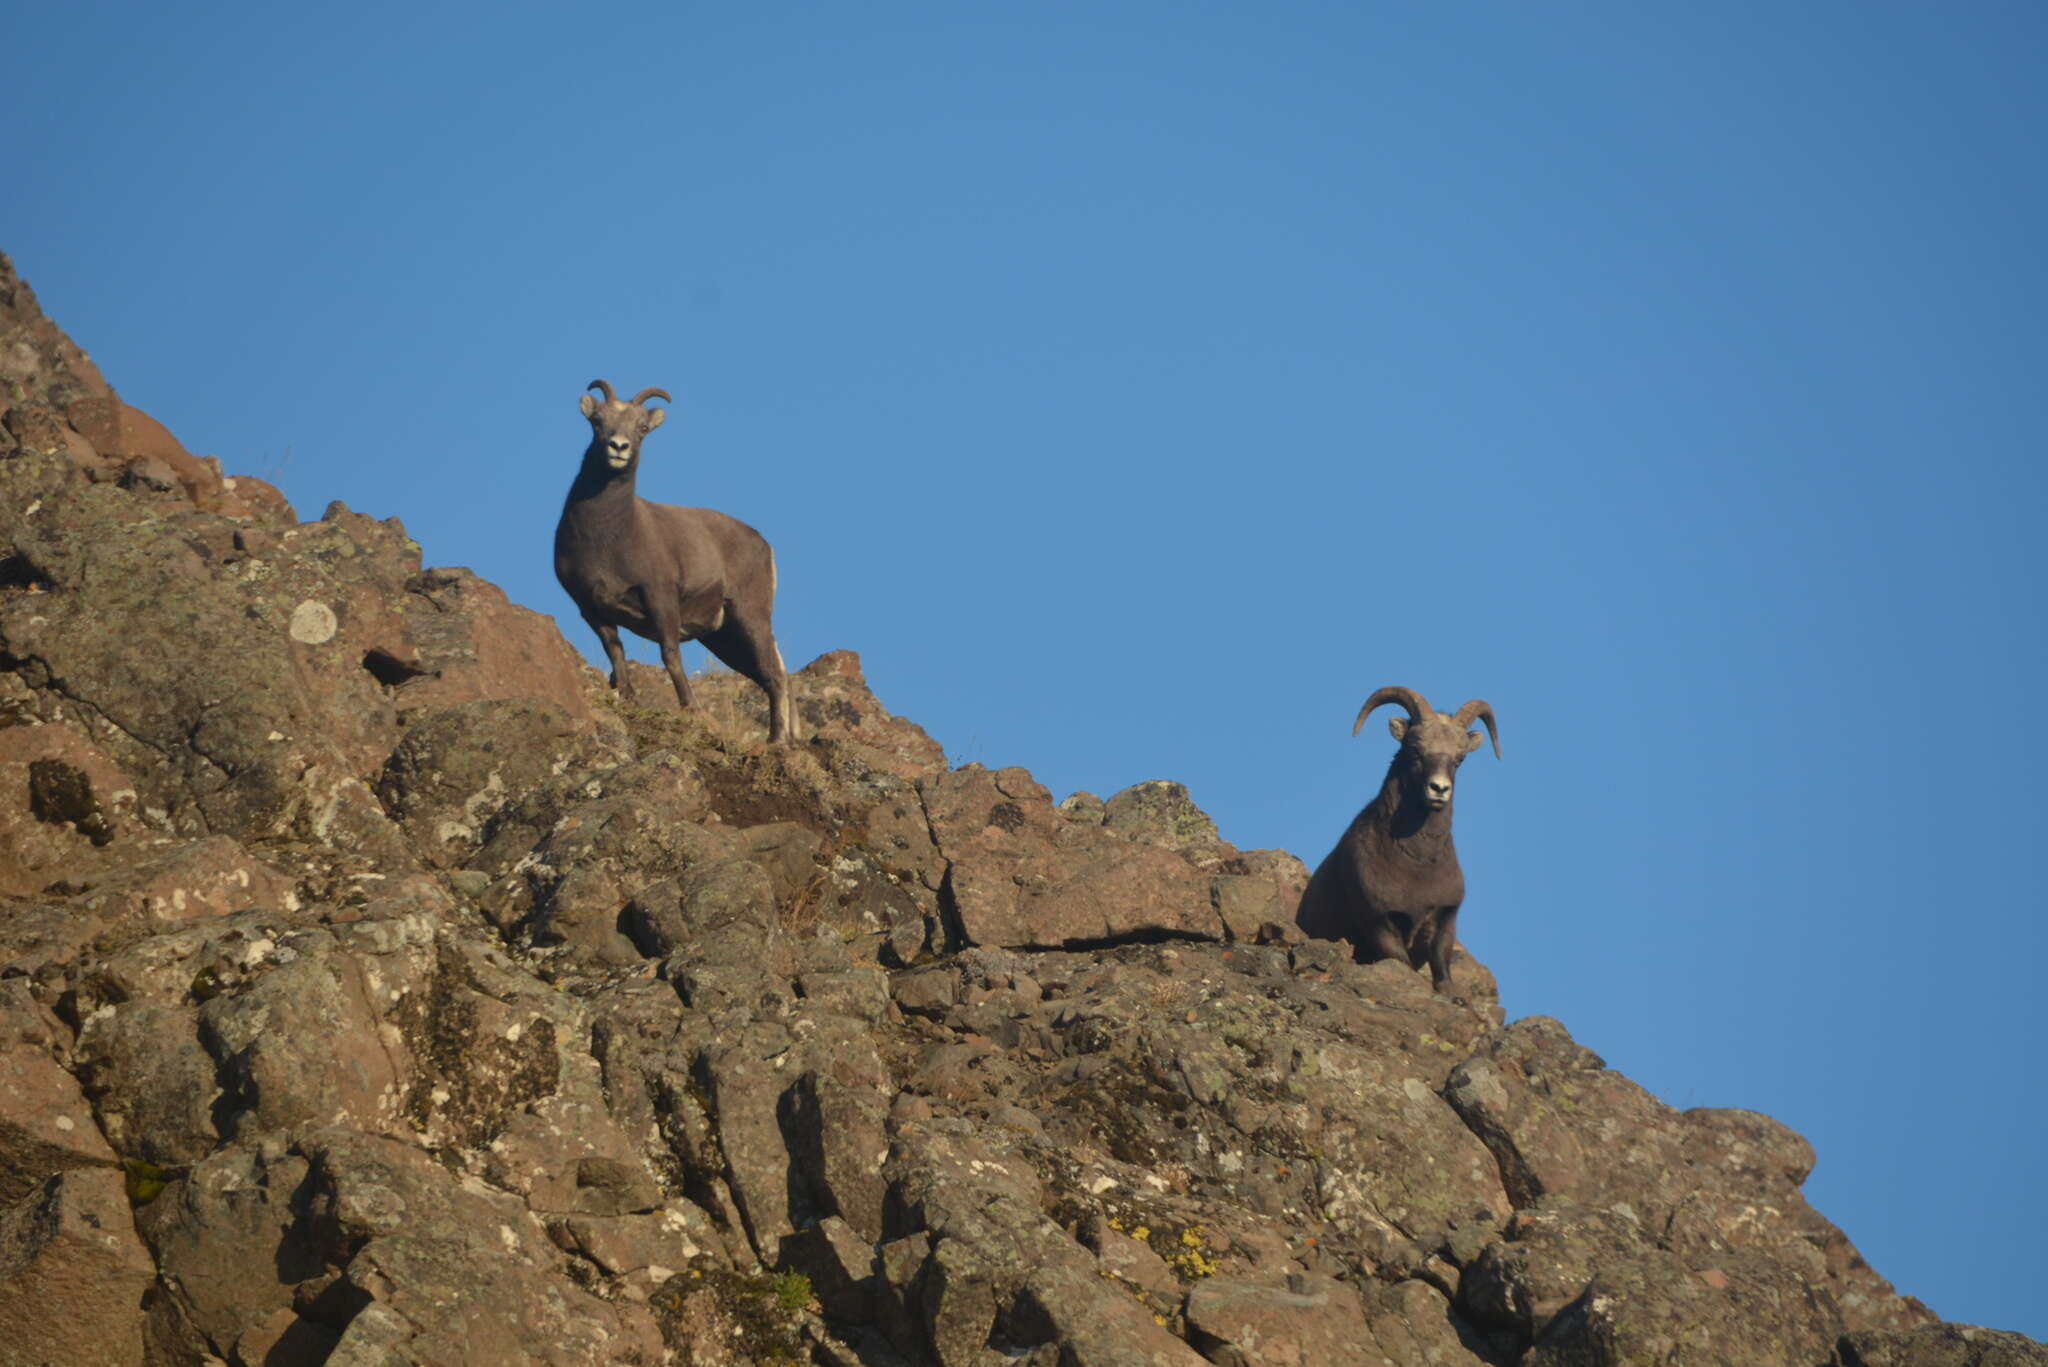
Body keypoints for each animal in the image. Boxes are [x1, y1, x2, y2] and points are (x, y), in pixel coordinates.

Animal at [552, 379, 790, 741]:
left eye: (642, 428)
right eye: (598, 421)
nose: (618, 447)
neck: (607, 537)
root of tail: (763, 543)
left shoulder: (660, 599)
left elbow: (670, 656)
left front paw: (692, 710)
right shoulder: (590, 607)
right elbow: (615, 650)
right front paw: (626, 696)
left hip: (751, 617)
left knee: (773, 674)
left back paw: (776, 742)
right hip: (722, 638)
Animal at [1294, 684, 1507, 996]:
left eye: (1459, 759)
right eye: (1415, 750)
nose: (1439, 789)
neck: (1417, 867)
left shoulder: (1444, 921)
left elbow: (1441, 967)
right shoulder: (1381, 923)